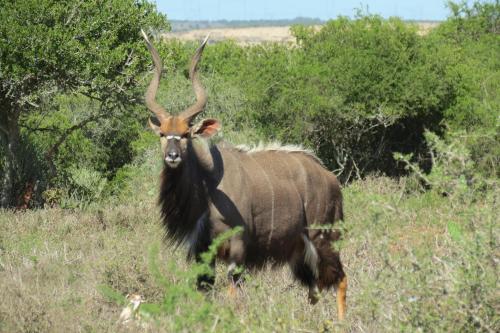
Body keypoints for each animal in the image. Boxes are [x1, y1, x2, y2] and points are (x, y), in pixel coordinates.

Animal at [141, 30, 348, 320]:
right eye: (162, 134)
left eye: (186, 134)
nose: (172, 156)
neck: (208, 190)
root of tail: (331, 179)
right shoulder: (202, 252)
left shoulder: (238, 250)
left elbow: (233, 295)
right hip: (300, 253)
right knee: (314, 289)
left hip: (323, 237)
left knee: (340, 278)